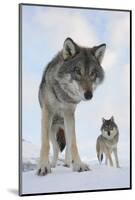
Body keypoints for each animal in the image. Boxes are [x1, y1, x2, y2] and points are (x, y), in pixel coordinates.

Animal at [37, 37, 106, 175]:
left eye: (92, 73)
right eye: (78, 71)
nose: (89, 95)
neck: (62, 95)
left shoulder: (69, 114)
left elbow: (73, 143)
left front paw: (79, 165)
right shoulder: (47, 112)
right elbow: (45, 144)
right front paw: (44, 166)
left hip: (65, 126)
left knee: (68, 145)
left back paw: (68, 163)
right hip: (52, 130)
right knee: (56, 148)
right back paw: (53, 164)